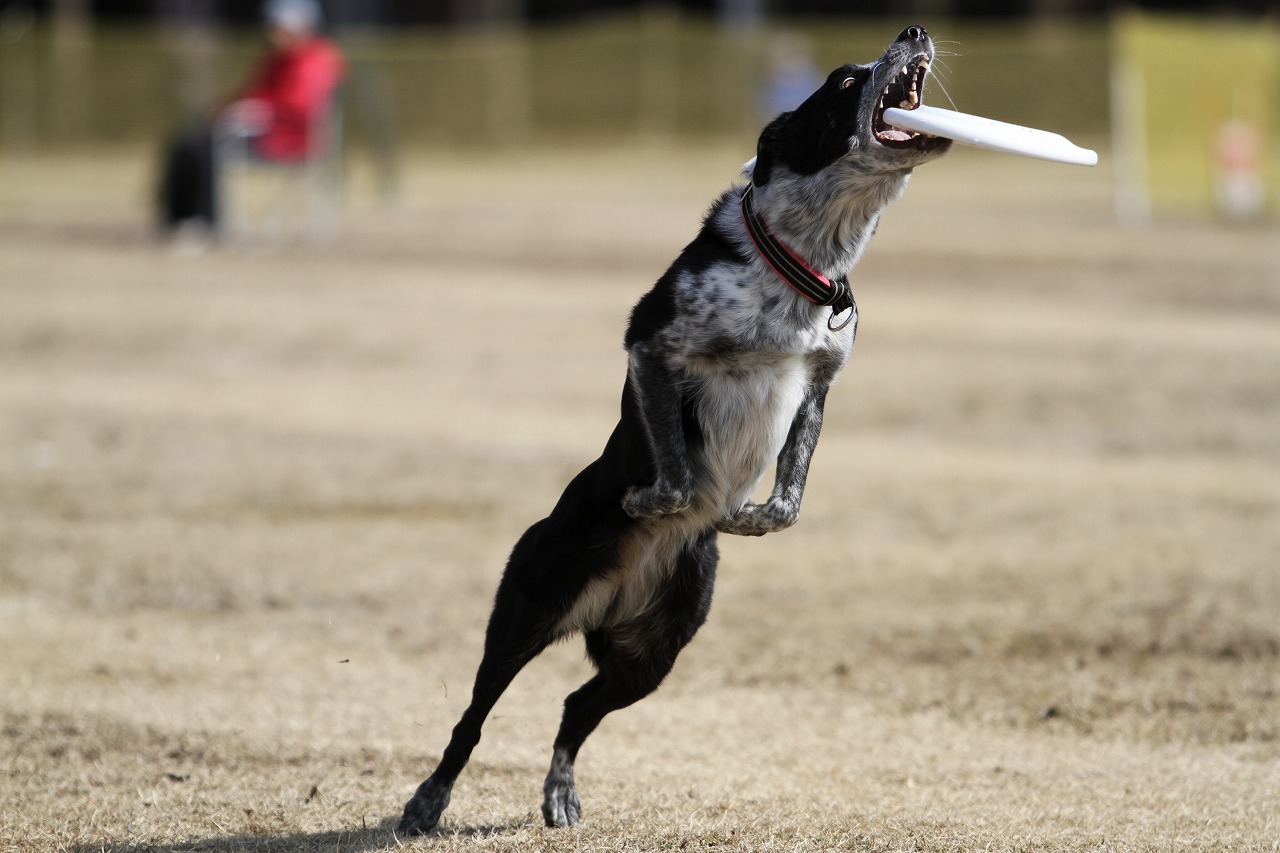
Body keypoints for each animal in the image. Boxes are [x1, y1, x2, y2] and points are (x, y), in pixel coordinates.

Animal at [399, 24, 952, 829]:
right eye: (846, 82)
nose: (913, 31)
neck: (799, 260)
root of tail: (606, 600)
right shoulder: (652, 347)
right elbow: (677, 470)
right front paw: (647, 500)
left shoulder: (820, 384)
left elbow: (789, 498)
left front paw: (748, 518)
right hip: (527, 610)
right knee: (472, 718)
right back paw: (426, 802)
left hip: (655, 651)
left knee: (575, 708)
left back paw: (560, 795)